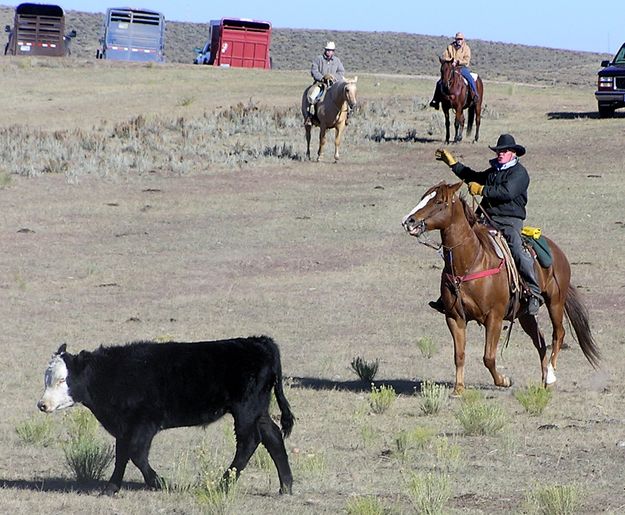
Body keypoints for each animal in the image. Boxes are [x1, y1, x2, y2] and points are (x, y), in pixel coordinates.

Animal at [402, 181, 596, 396]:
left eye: (439, 202)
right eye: (423, 197)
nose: (409, 221)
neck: (471, 261)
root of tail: (557, 252)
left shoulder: (494, 317)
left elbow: (488, 357)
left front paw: (504, 380)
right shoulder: (454, 317)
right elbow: (459, 354)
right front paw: (458, 388)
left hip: (555, 302)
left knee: (558, 334)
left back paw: (551, 376)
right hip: (525, 314)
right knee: (540, 341)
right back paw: (545, 379)